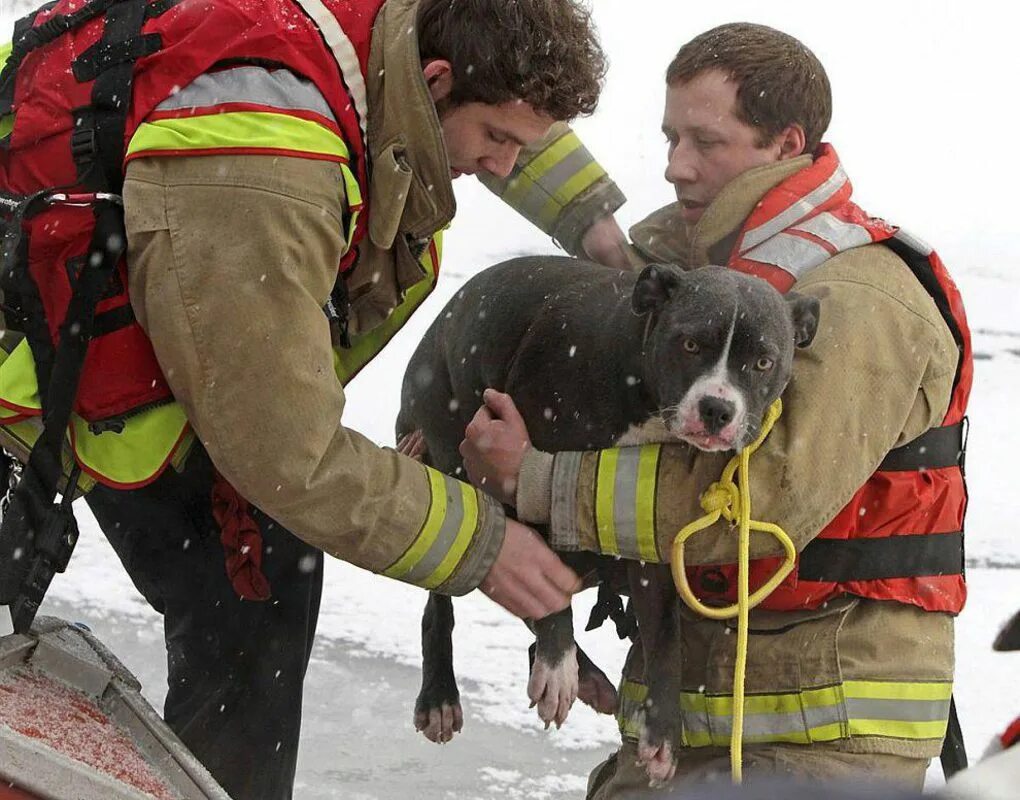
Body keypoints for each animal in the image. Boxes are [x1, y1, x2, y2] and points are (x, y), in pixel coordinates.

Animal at [393, 258, 816, 779]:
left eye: (763, 362)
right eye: (690, 344)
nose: (717, 408)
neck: (640, 385)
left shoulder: (643, 522)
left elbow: (663, 636)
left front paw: (662, 734)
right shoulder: (526, 465)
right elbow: (541, 585)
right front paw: (557, 668)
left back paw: (590, 676)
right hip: (448, 461)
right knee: (447, 599)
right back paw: (444, 696)